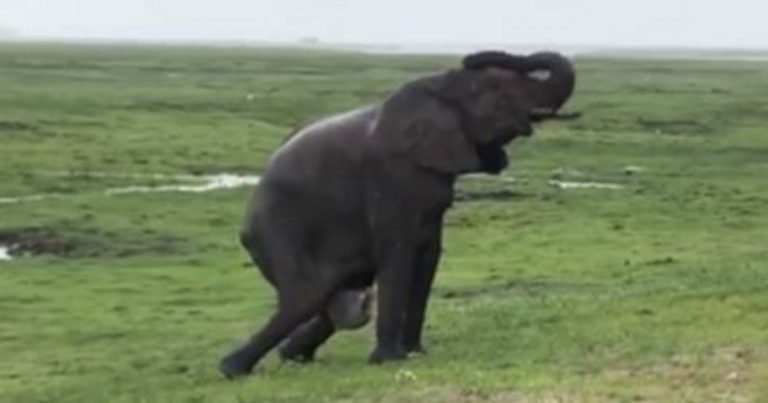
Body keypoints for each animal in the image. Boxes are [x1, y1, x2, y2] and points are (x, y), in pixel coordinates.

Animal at [219, 50, 578, 378]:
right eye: (497, 86)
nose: (470, 57)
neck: (438, 86)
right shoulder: (389, 176)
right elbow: (399, 253)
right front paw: (390, 360)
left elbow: (428, 256)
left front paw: (416, 353)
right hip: (278, 230)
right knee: (308, 295)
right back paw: (233, 369)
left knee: (345, 298)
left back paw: (291, 355)